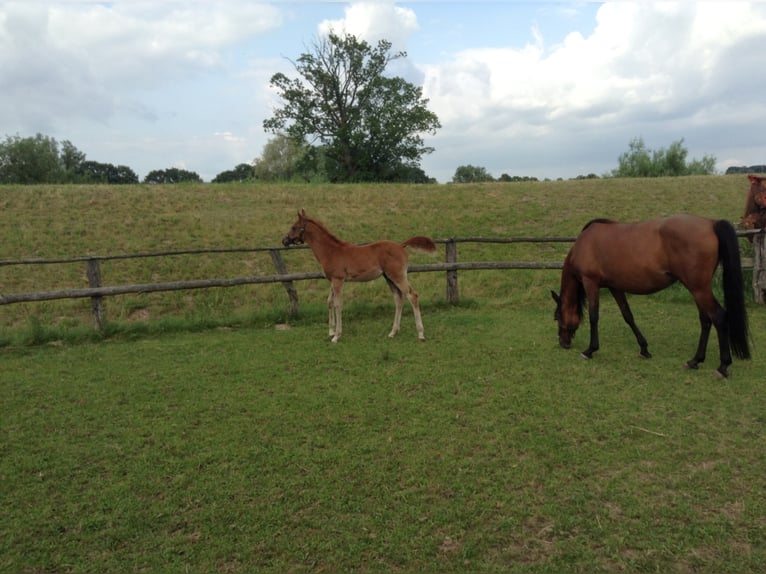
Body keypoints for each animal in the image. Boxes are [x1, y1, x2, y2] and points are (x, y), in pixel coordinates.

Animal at [282, 209, 437, 342]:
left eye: (294, 227)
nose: (284, 241)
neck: (331, 251)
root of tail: (400, 245)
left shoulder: (338, 280)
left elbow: (338, 304)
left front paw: (336, 336)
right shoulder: (332, 280)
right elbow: (329, 302)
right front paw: (331, 331)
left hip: (398, 276)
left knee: (412, 296)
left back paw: (420, 334)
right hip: (389, 278)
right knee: (398, 299)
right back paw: (393, 332)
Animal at [551, 214, 750, 377]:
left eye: (557, 317)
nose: (563, 342)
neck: (585, 243)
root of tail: (711, 223)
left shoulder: (591, 282)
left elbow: (594, 316)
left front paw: (589, 350)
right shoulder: (615, 287)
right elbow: (628, 316)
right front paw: (644, 349)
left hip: (699, 289)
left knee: (719, 317)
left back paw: (722, 367)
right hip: (698, 289)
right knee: (705, 320)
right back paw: (695, 361)